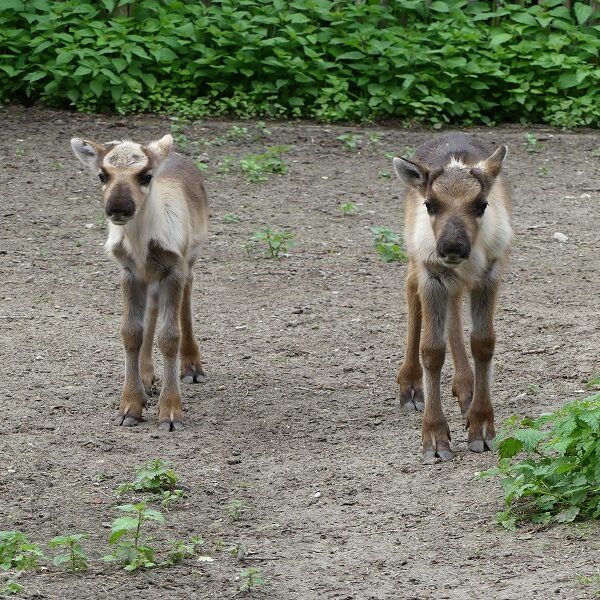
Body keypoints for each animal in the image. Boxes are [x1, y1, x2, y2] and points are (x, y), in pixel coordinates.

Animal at [71, 134, 209, 428]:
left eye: (146, 176)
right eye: (102, 175)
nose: (119, 207)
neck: (141, 245)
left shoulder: (173, 268)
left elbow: (169, 336)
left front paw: (170, 411)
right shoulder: (130, 272)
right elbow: (131, 332)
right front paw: (131, 405)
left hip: (190, 258)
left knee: (187, 299)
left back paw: (192, 367)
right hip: (151, 278)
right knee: (153, 310)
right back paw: (146, 377)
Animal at [392, 134, 512, 464]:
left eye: (481, 204)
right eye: (430, 204)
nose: (453, 247)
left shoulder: (489, 275)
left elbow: (483, 343)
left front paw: (481, 426)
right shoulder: (432, 275)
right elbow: (432, 350)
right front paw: (434, 437)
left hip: (458, 281)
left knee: (455, 308)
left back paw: (465, 388)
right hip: (416, 260)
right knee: (411, 289)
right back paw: (410, 387)